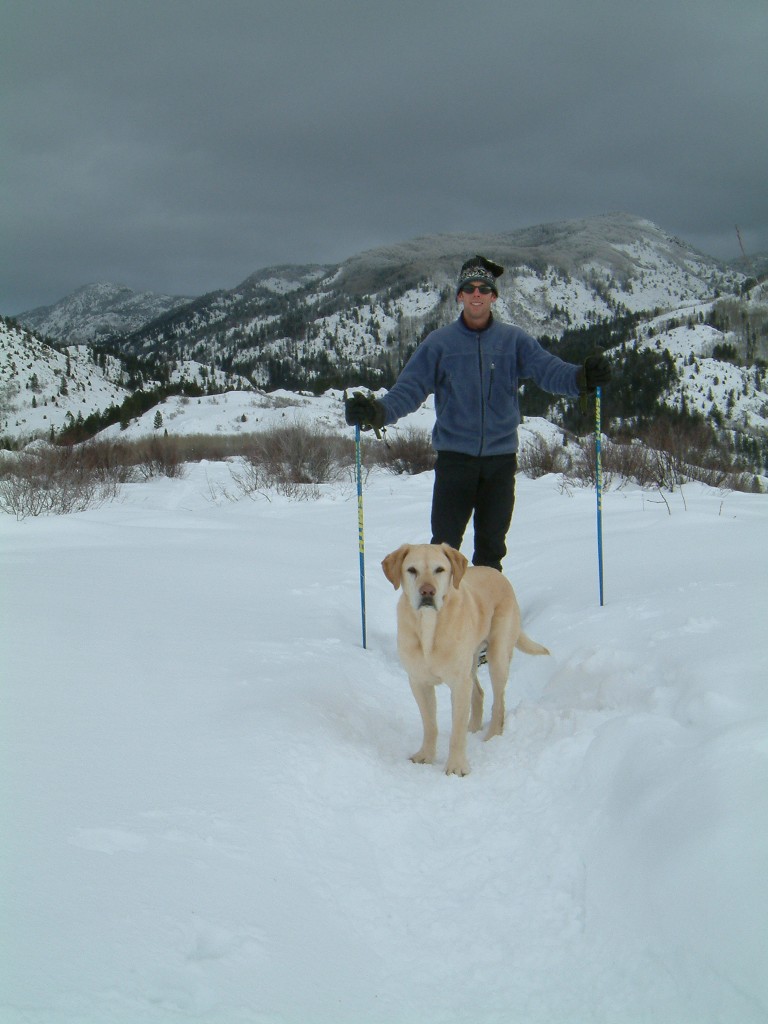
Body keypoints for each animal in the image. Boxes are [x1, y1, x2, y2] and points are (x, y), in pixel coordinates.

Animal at [382, 544, 548, 774]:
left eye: (440, 569)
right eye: (412, 570)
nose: (427, 591)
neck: (429, 626)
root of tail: (497, 573)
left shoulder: (459, 684)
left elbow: (457, 731)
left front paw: (456, 766)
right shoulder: (419, 682)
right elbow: (430, 724)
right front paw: (425, 756)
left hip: (497, 657)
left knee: (498, 703)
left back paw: (492, 735)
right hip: (471, 662)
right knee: (478, 693)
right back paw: (474, 727)